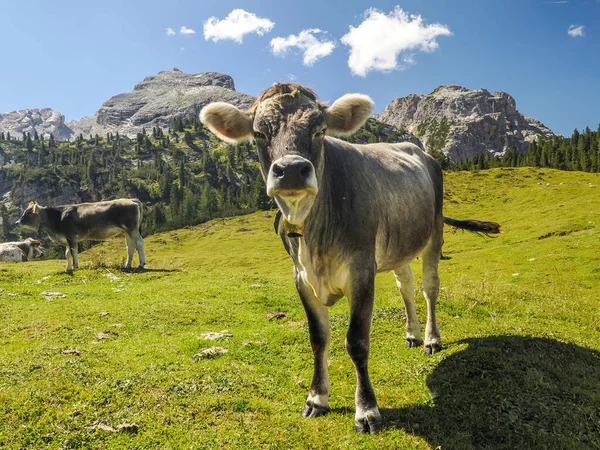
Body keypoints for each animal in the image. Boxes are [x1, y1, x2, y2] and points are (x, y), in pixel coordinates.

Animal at [15, 200, 145, 270]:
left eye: (28, 213)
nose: (16, 223)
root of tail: (132, 200)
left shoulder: (71, 236)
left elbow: (73, 252)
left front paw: (75, 266)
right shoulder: (65, 239)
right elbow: (67, 253)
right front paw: (67, 268)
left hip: (132, 229)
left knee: (139, 243)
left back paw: (142, 264)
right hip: (127, 231)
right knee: (130, 247)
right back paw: (127, 265)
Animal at [202, 82, 502, 434]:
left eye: (320, 130)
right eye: (260, 133)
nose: (291, 171)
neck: (314, 238)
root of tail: (418, 150)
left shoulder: (361, 271)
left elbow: (356, 341)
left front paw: (367, 410)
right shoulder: (301, 278)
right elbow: (318, 338)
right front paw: (316, 399)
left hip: (434, 231)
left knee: (430, 287)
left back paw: (431, 339)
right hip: (399, 243)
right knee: (406, 287)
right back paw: (413, 334)